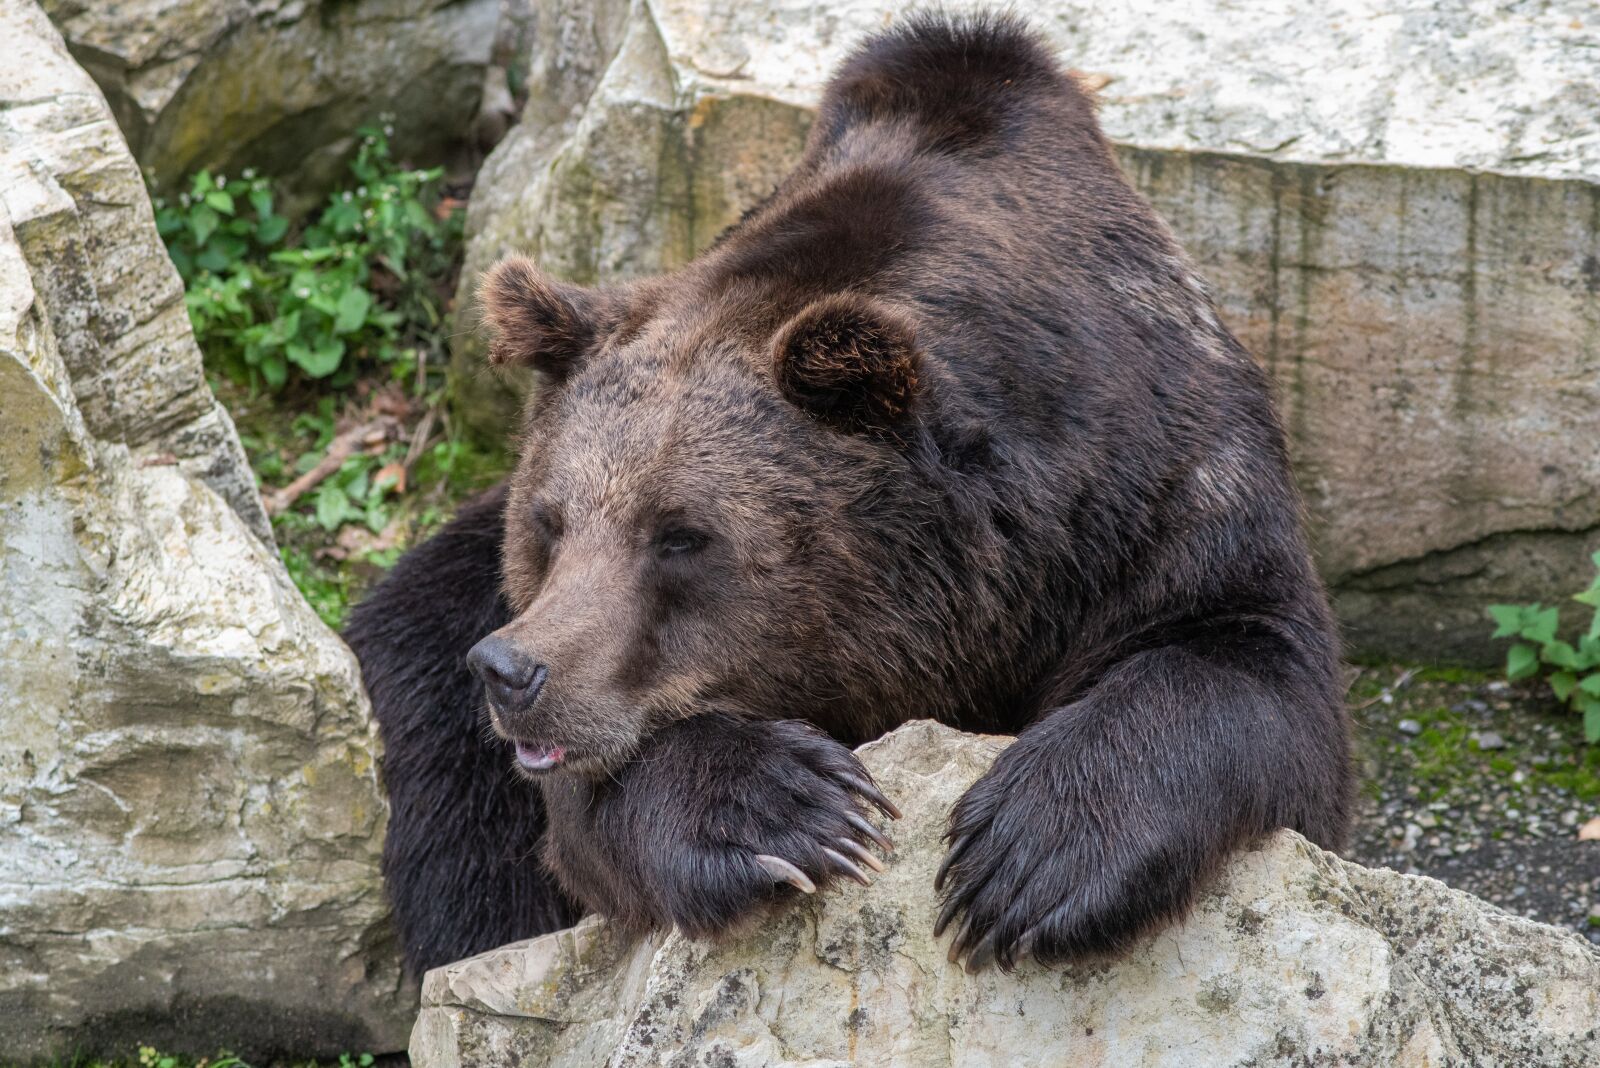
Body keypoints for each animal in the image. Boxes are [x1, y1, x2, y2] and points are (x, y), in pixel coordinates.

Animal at [345, 11, 1352, 978]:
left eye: (681, 535)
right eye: (550, 524)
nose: (516, 671)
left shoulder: (1163, 487)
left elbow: (1245, 658)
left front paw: (1028, 861)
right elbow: (588, 809)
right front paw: (789, 808)